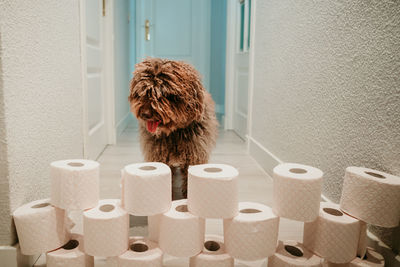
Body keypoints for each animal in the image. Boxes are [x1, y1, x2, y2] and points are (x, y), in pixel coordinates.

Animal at [130, 58, 219, 199]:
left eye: (162, 95)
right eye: (142, 92)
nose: (144, 114)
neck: (174, 132)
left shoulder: (194, 154)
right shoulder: (158, 155)